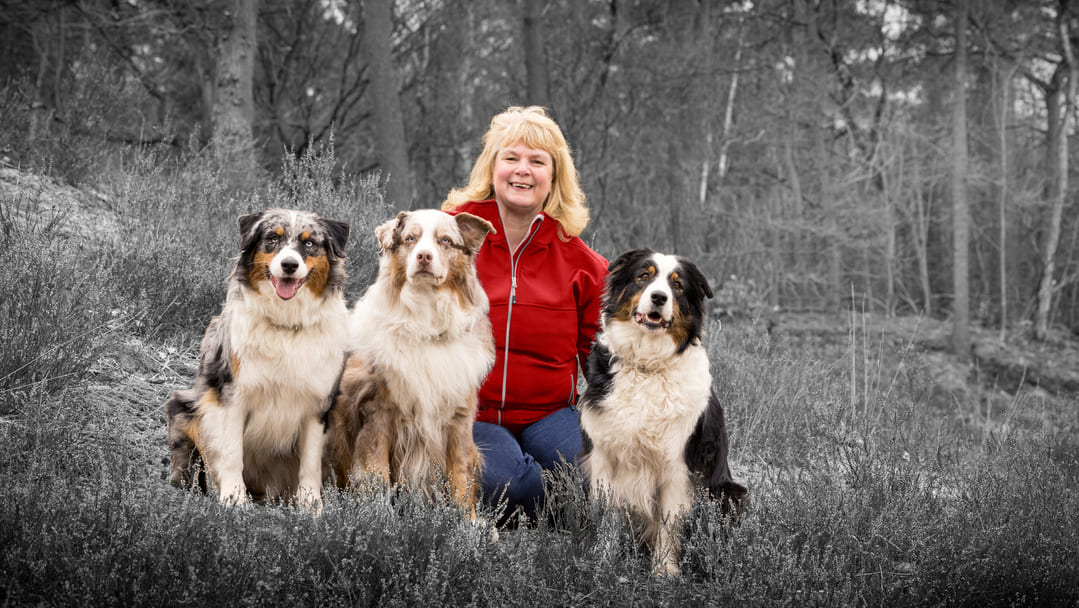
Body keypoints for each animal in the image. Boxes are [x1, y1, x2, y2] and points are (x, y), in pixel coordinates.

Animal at [165, 209, 349, 514]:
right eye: (272, 238)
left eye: (310, 243)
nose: (289, 265)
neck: (286, 325)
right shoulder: (232, 398)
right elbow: (231, 454)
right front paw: (233, 497)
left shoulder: (317, 405)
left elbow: (310, 463)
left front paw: (311, 505)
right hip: (184, 407)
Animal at [325, 208, 494, 514]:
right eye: (410, 239)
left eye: (445, 241)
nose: (424, 256)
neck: (425, 324)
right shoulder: (378, 411)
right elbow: (376, 472)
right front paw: (378, 516)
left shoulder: (459, 418)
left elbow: (460, 474)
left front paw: (468, 522)